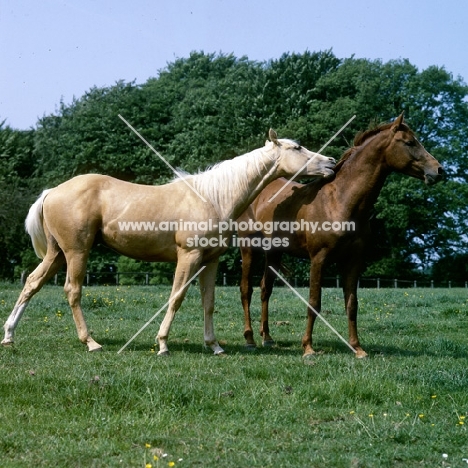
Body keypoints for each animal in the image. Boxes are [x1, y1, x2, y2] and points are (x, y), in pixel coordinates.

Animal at [1, 128, 334, 354]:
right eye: (297, 147)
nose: (330, 162)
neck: (213, 197)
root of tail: (52, 192)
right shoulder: (188, 256)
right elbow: (176, 298)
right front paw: (162, 344)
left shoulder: (209, 260)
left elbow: (208, 303)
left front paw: (214, 346)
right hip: (75, 253)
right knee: (72, 291)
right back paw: (91, 342)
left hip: (56, 254)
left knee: (31, 284)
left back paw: (9, 335)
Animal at [239, 113, 444, 358]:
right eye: (409, 142)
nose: (439, 171)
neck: (340, 201)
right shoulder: (318, 259)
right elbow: (314, 302)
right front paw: (308, 347)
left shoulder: (353, 260)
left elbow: (352, 304)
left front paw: (357, 348)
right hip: (248, 249)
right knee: (246, 290)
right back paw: (250, 339)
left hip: (274, 253)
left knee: (265, 290)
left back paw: (267, 338)